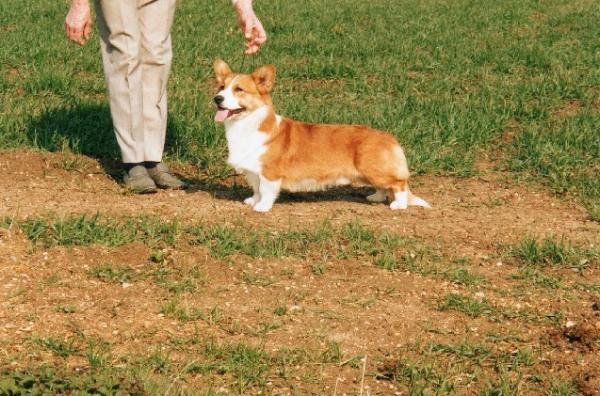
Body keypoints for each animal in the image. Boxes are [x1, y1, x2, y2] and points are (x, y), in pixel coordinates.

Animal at [213, 58, 428, 212]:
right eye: (221, 87)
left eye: (239, 89)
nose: (217, 99)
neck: (246, 125)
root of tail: (389, 138)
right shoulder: (254, 172)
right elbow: (256, 189)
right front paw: (253, 201)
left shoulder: (270, 173)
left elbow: (266, 191)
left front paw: (262, 207)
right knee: (385, 186)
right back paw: (375, 197)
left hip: (374, 170)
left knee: (399, 184)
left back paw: (399, 205)